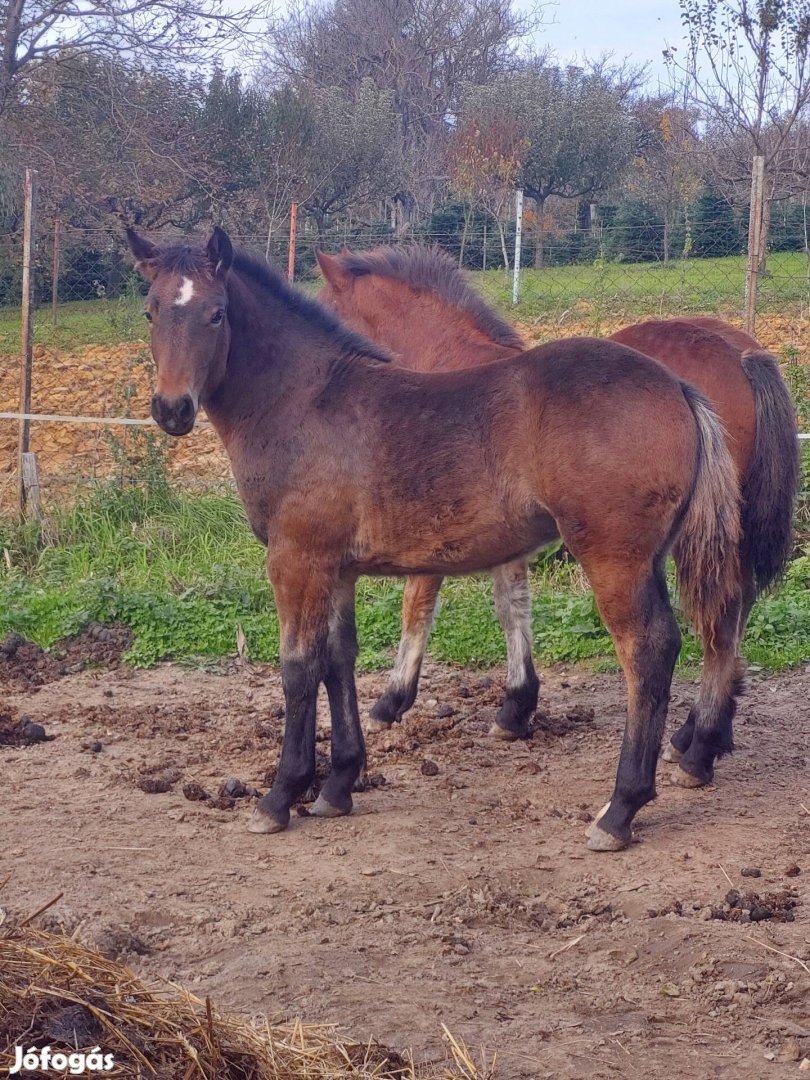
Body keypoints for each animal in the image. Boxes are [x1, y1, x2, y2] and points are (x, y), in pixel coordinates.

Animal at [126, 230, 743, 851]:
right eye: (150, 311)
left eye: (216, 313)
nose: (172, 409)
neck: (305, 400)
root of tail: (678, 386)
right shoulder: (336, 568)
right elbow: (338, 659)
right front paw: (338, 784)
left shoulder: (295, 560)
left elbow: (298, 667)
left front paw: (281, 795)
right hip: (650, 558)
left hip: (614, 558)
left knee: (647, 649)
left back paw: (620, 809)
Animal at [317, 245, 799, 794]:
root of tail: (744, 354)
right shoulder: (501, 536)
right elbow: (513, 605)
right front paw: (516, 707)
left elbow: (417, 606)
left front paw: (392, 701)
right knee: (735, 610)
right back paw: (699, 737)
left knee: (722, 613)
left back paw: (698, 749)